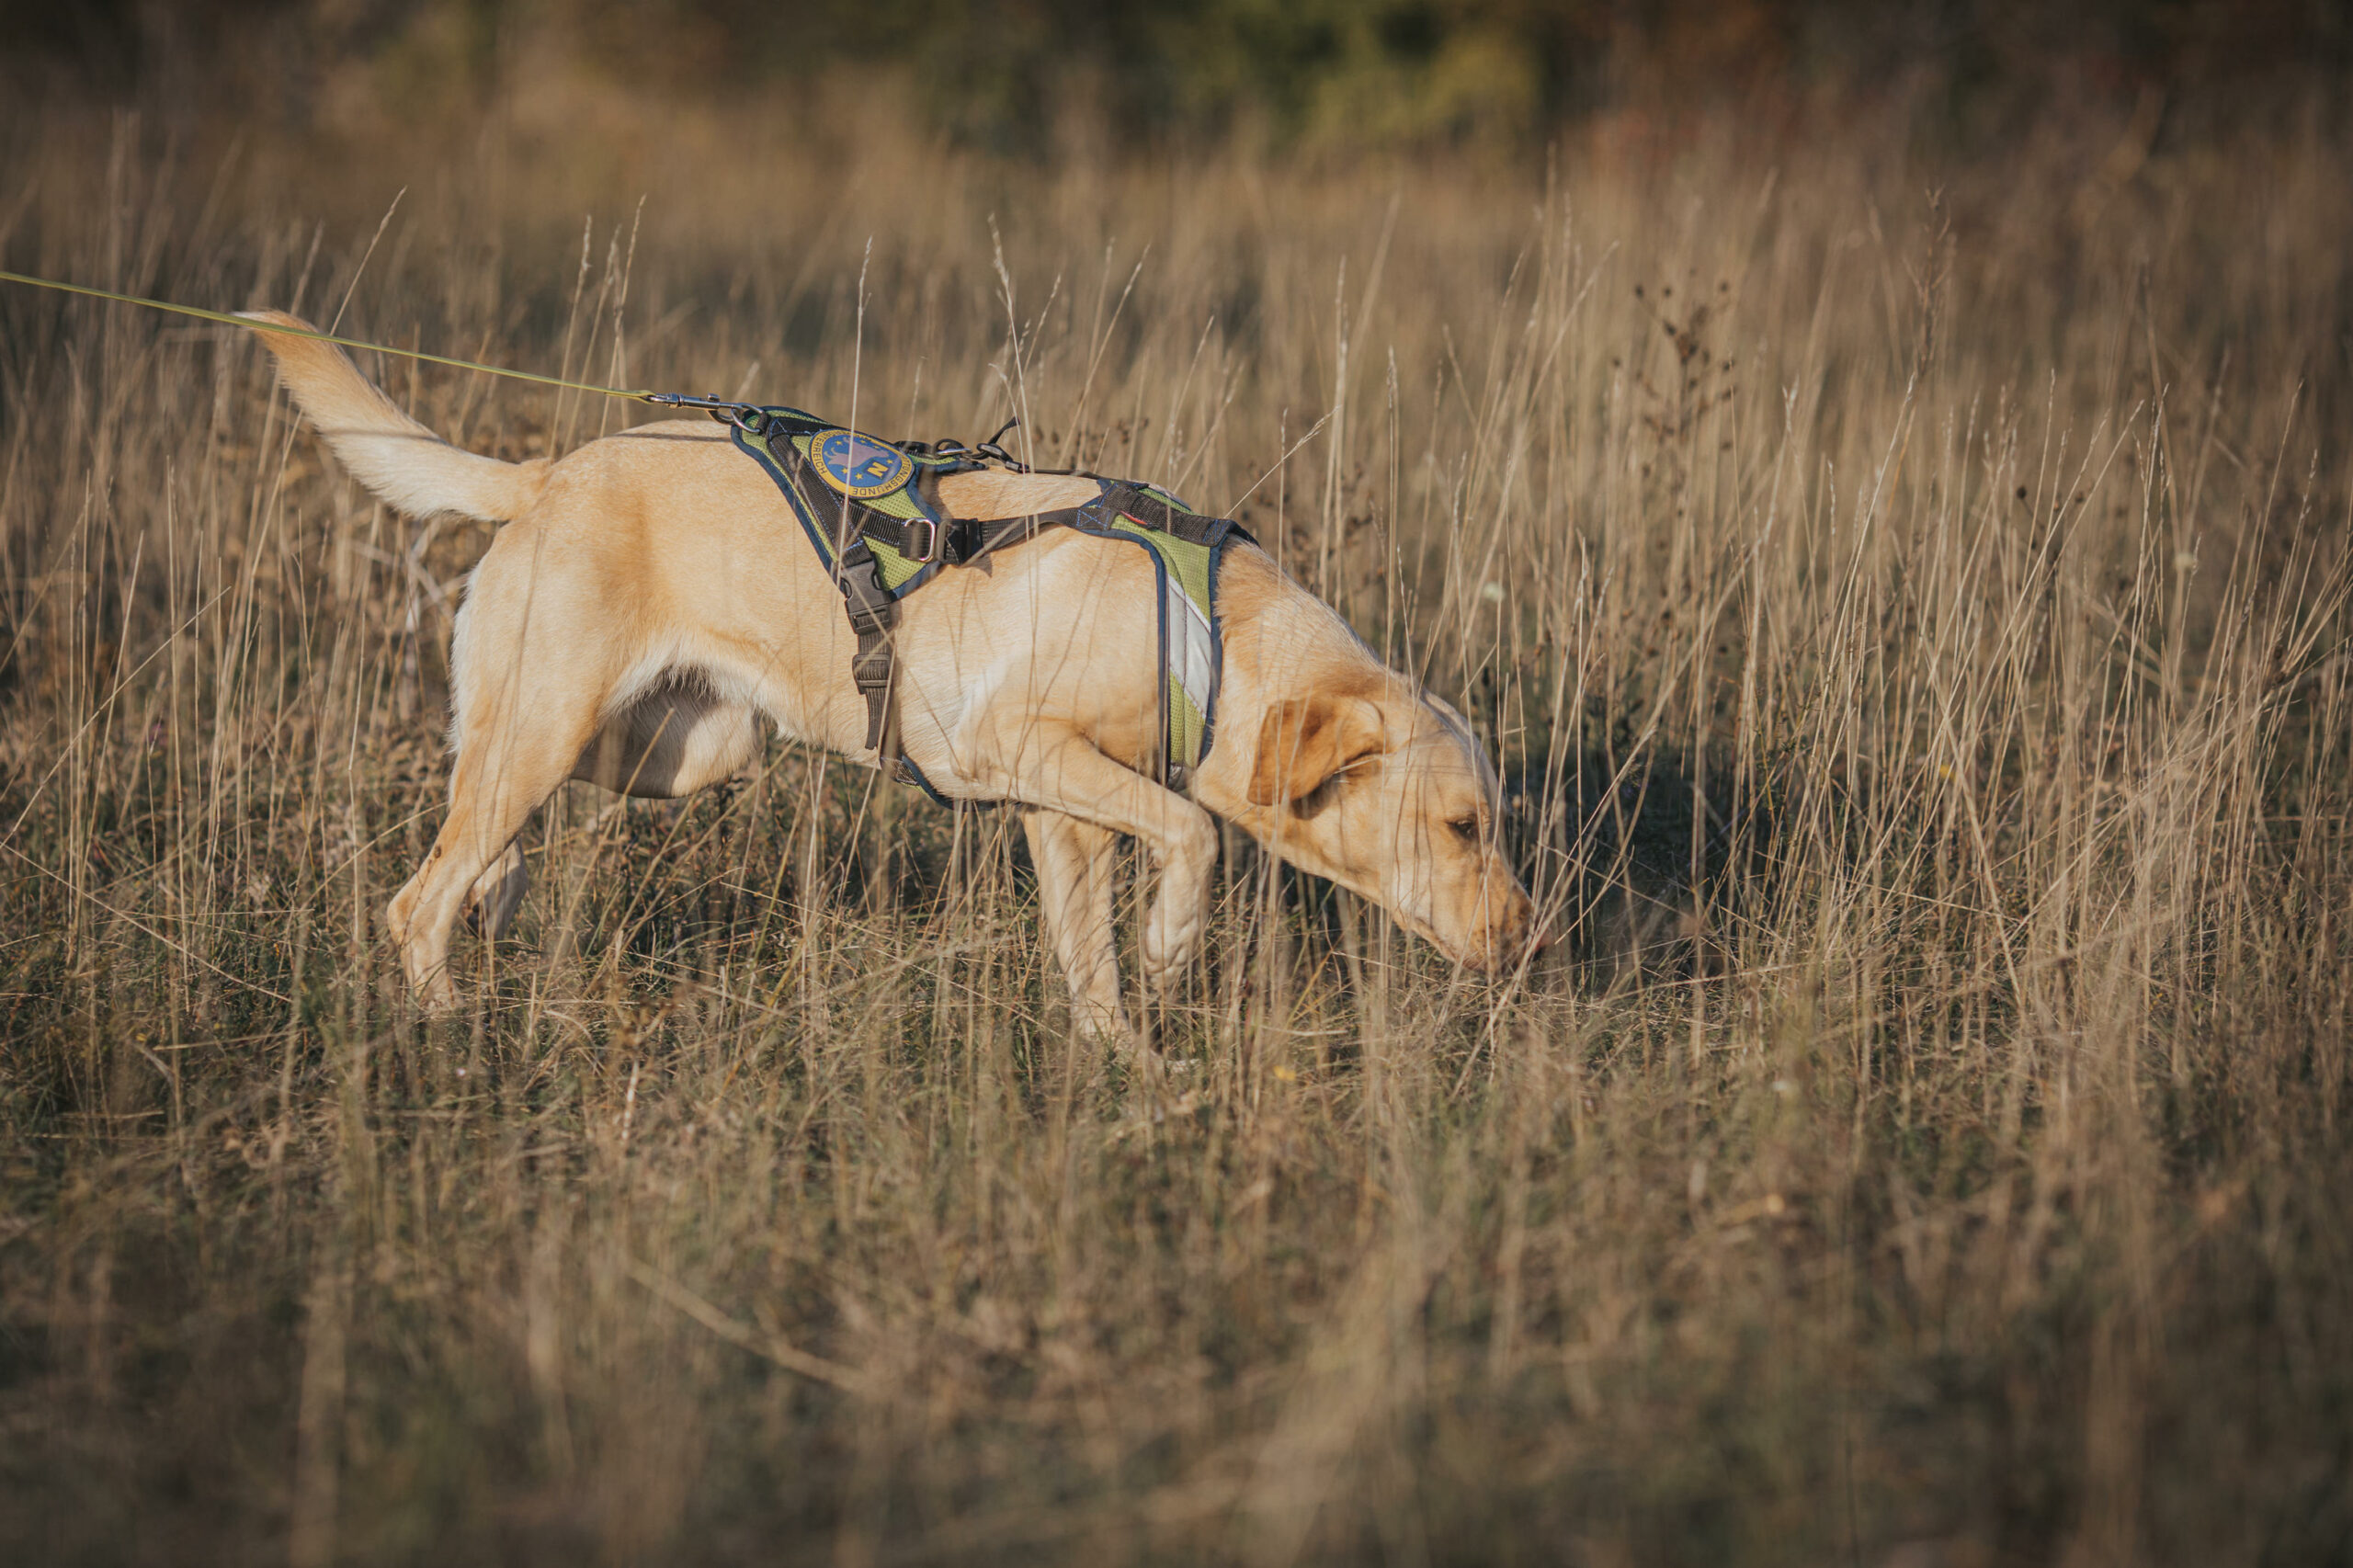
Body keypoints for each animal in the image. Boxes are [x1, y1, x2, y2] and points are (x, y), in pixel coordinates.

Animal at [248, 311, 1543, 1030]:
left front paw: (1129, 1076)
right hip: (563, 722)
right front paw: (1174, 944)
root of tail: (544, 474)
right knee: (417, 895)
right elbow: (1195, 831)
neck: (1211, 638)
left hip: (673, 748)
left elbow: (1092, 960)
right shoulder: (1005, 748)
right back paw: (450, 1024)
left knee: (478, 818)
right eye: (1462, 826)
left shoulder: (1060, 817)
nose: (1534, 940)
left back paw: (499, 888)